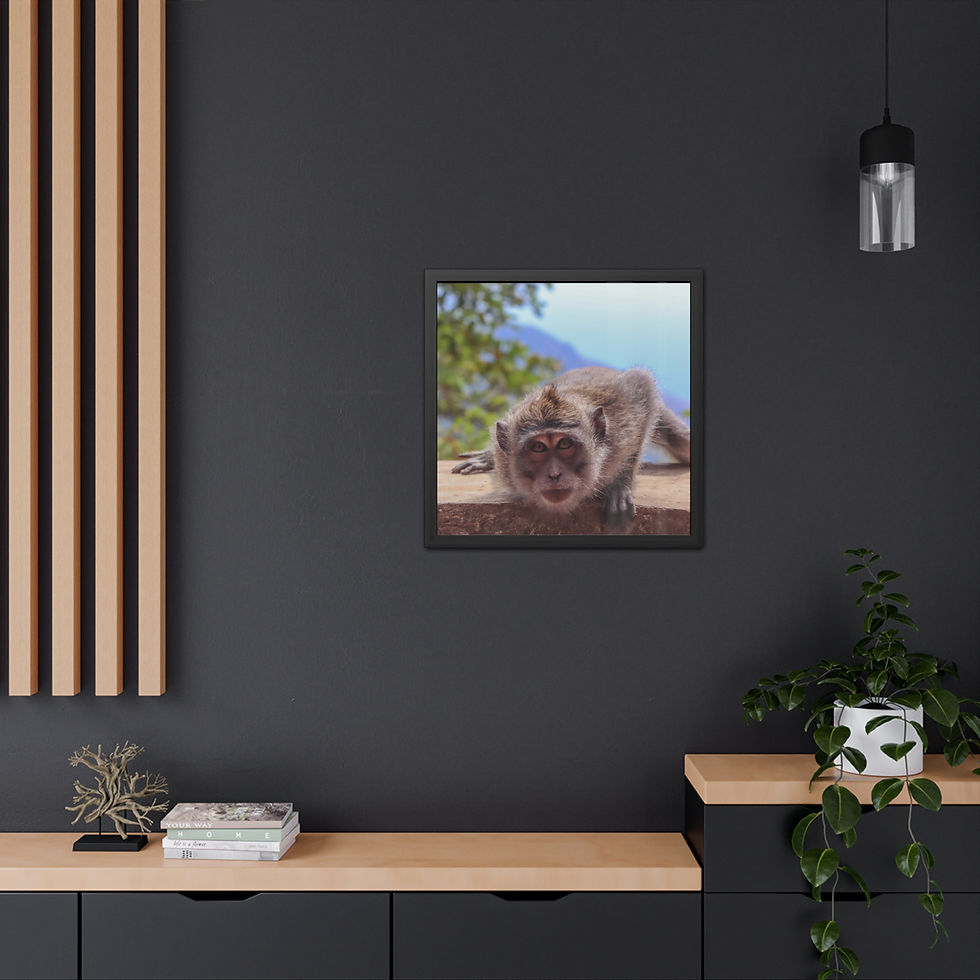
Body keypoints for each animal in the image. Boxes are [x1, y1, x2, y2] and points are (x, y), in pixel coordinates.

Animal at [451, 366, 690, 528]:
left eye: (564, 444)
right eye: (538, 447)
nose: (554, 474)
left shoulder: (622, 419)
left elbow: (642, 386)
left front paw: (619, 486)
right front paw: (488, 456)